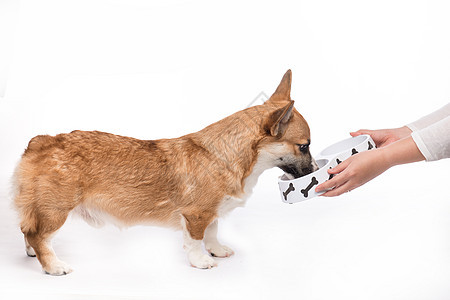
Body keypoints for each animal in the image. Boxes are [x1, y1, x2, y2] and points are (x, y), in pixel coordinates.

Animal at [13, 69, 316, 274]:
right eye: (304, 146)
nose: (314, 169)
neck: (231, 156)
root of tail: (41, 141)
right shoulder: (195, 214)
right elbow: (195, 240)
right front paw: (201, 261)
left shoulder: (211, 211)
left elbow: (213, 231)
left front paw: (217, 250)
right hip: (56, 211)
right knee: (38, 235)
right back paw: (53, 266)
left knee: (28, 230)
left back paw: (32, 254)